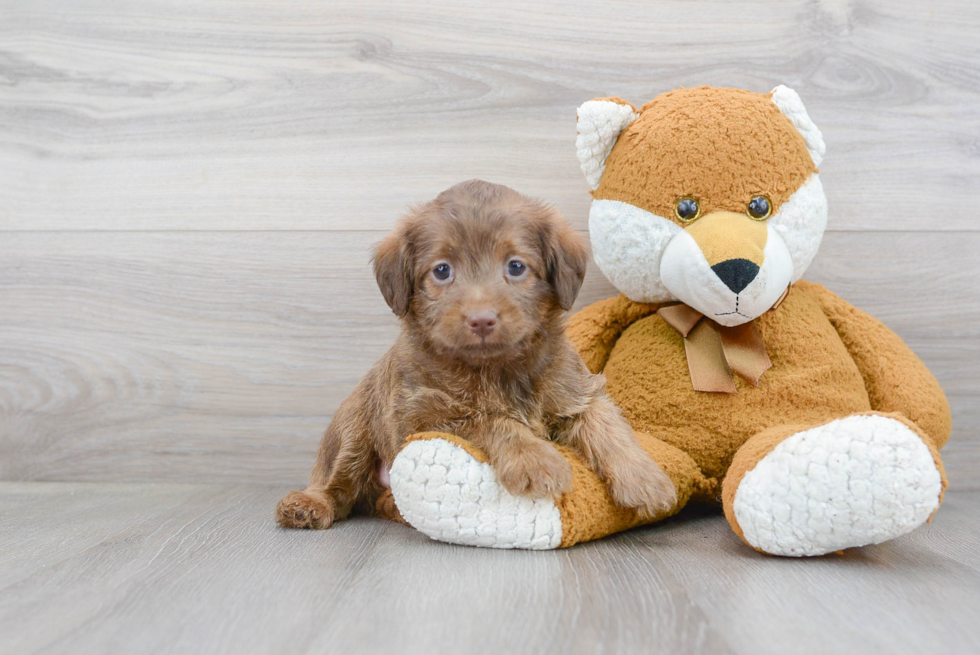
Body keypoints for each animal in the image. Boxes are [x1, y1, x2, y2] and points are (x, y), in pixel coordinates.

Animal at [276, 181, 672, 532]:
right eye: (442, 270)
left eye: (515, 266)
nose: (481, 319)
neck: (496, 369)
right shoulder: (427, 416)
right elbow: (492, 420)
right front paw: (535, 458)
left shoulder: (576, 390)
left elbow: (607, 426)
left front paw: (645, 478)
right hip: (353, 428)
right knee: (339, 488)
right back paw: (309, 504)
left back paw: (392, 506)